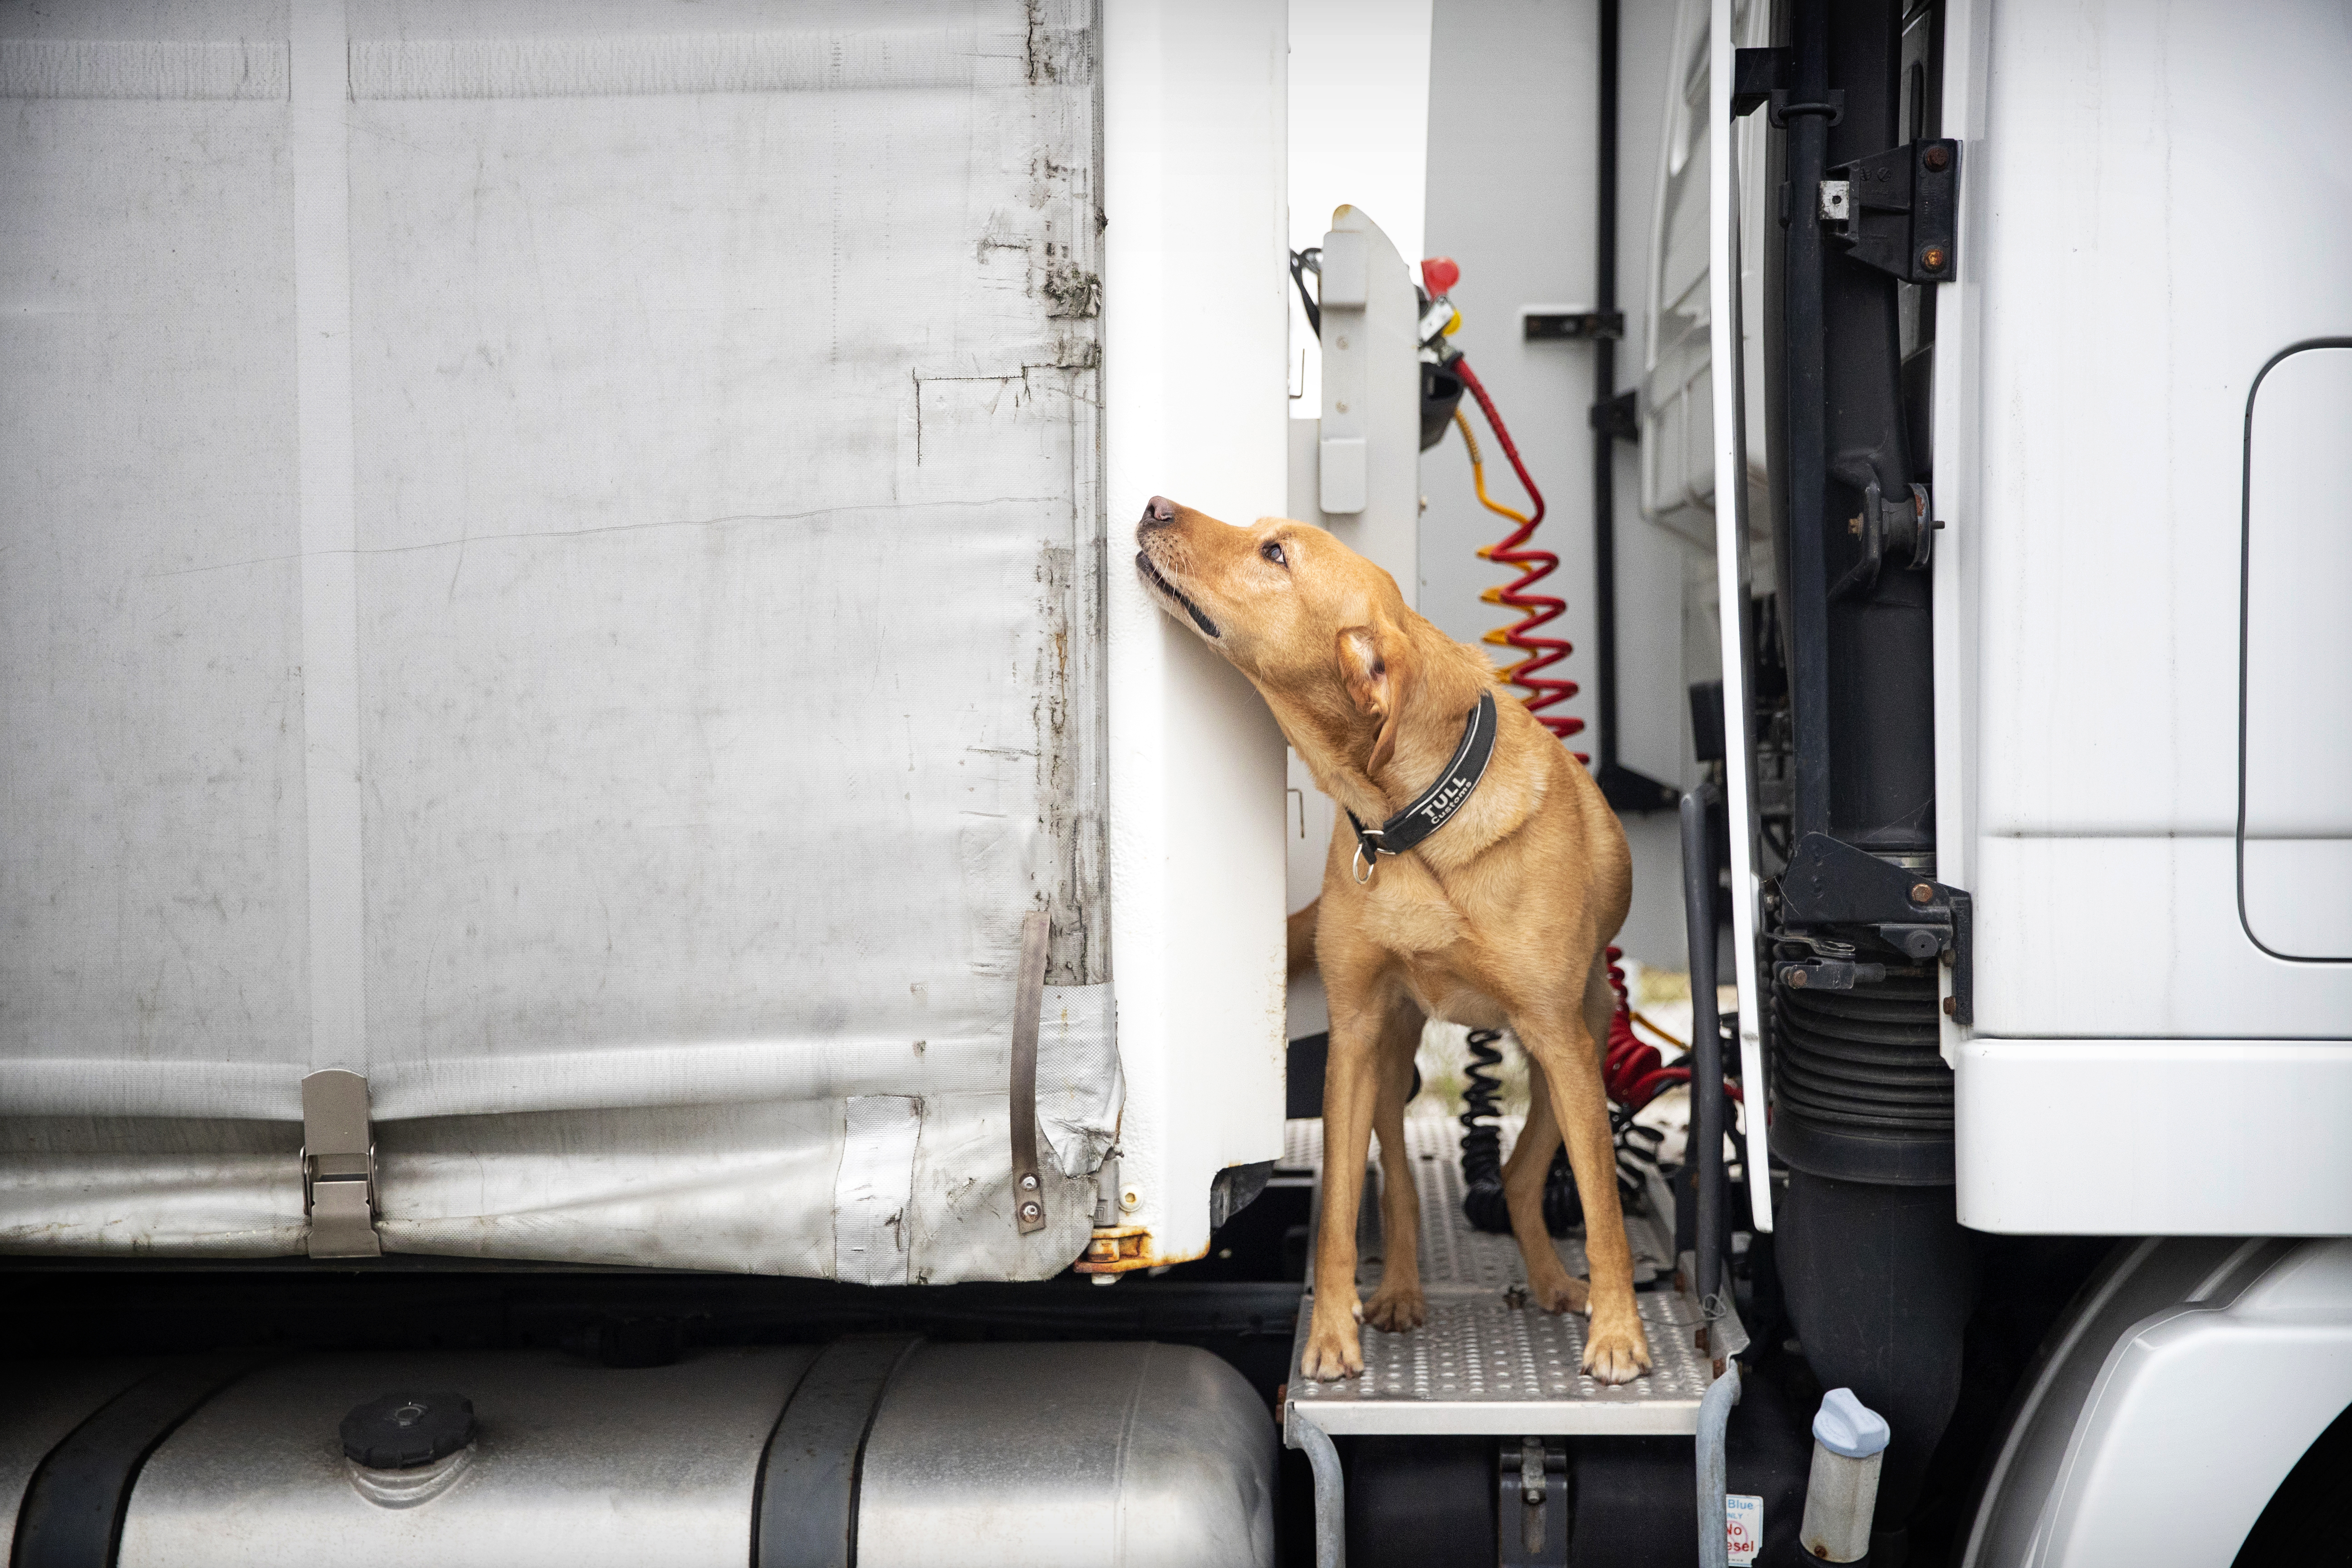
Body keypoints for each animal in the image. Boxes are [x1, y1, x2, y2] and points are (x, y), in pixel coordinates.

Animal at [1138, 493, 1656, 1382]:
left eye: (1274, 553)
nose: (1152, 505)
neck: (1413, 824)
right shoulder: (1352, 1036)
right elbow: (1343, 1206)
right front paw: (1329, 1334)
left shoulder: (1558, 1036)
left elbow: (1600, 1208)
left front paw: (1619, 1333)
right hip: (1393, 1055)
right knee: (1406, 1190)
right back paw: (1402, 1292)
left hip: (1580, 1039)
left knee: (1522, 1175)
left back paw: (1557, 1283)